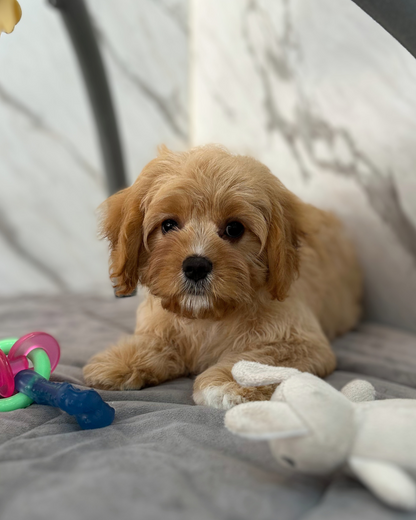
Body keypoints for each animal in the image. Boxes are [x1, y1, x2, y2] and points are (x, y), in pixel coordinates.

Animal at [82, 144, 360, 408]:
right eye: (168, 225)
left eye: (234, 228)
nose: (195, 266)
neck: (207, 318)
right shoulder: (162, 328)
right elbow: (153, 342)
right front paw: (118, 361)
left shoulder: (299, 342)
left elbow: (256, 359)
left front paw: (229, 384)